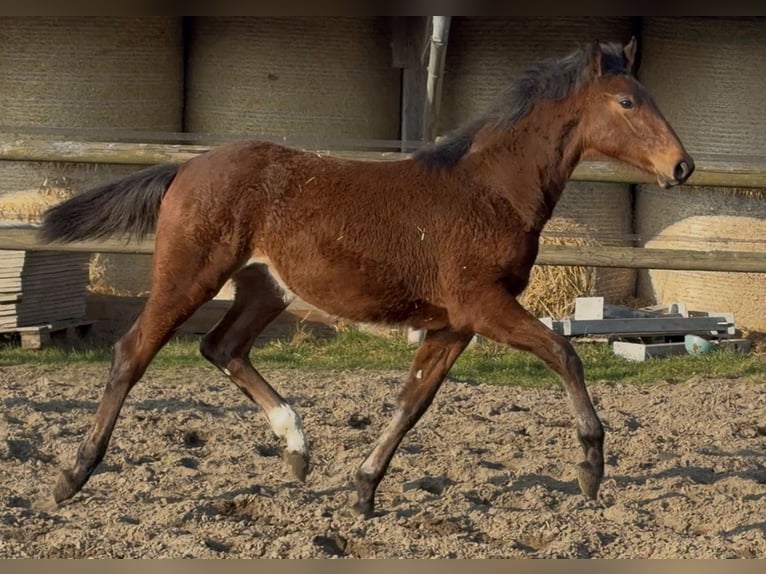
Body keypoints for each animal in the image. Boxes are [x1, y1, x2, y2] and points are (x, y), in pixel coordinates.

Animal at [40, 37, 693, 517]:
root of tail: (185, 168)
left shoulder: (453, 325)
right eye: (627, 103)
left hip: (266, 286)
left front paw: (363, 488)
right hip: (190, 275)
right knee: (134, 351)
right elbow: (566, 354)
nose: (682, 166)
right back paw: (73, 475)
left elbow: (413, 401)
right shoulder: (483, 305)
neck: (489, 190)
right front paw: (590, 467)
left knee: (221, 347)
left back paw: (298, 450)